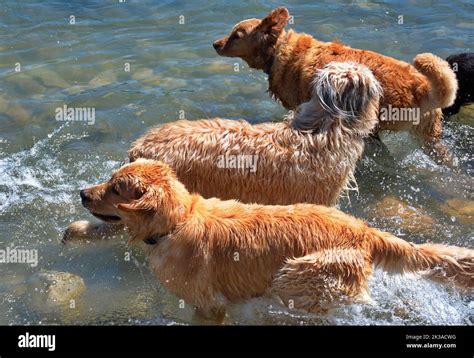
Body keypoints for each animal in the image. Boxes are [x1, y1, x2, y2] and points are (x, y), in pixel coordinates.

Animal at [65, 159, 472, 322]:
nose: (82, 193)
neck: (176, 222)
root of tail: (365, 230)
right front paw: (77, 231)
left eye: (116, 189)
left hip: (296, 273)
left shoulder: (209, 305)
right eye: (110, 179)